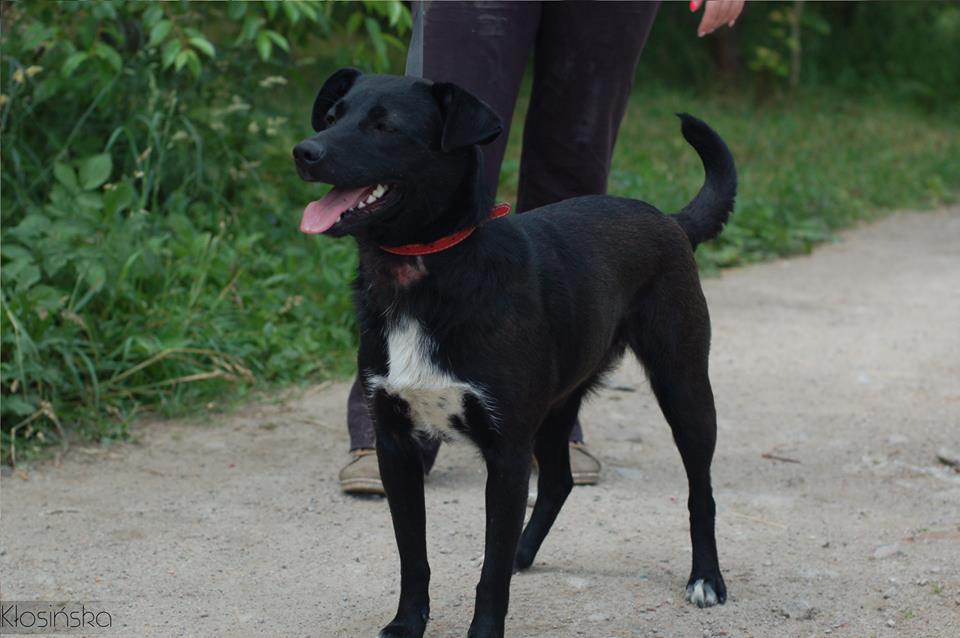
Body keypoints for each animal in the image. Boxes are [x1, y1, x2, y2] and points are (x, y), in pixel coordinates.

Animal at [294, 69, 736, 638]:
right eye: (331, 117)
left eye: (385, 126)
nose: (304, 151)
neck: (422, 275)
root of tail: (670, 219)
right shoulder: (395, 444)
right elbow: (414, 553)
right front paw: (408, 623)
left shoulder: (505, 451)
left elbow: (489, 568)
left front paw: (483, 629)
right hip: (557, 405)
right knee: (558, 483)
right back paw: (525, 552)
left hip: (683, 385)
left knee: (700, 491)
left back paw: (706, 578)